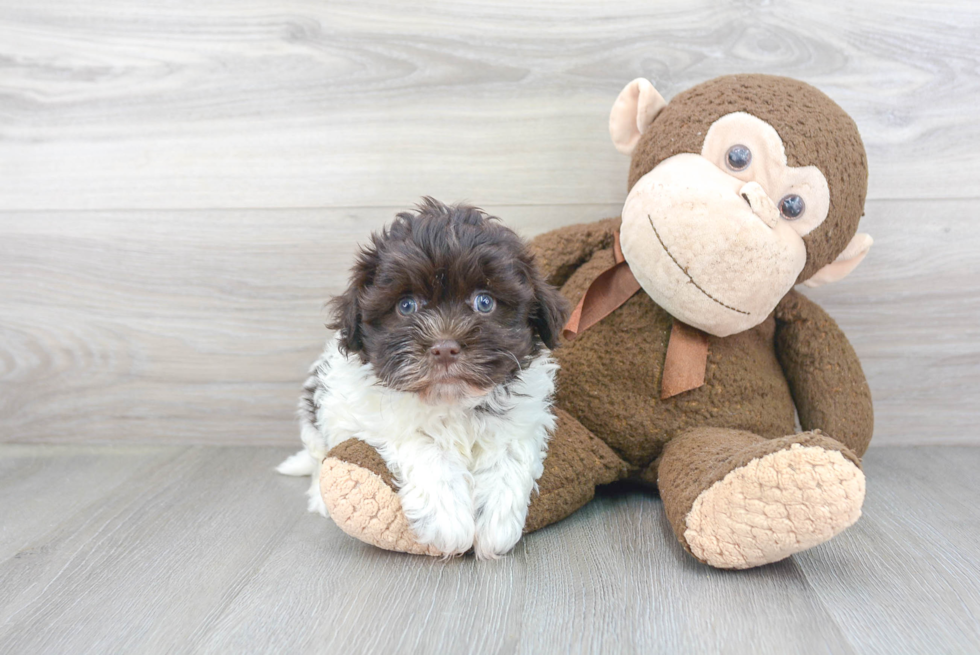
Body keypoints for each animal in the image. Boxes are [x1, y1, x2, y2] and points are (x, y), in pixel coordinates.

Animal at [276, 200, 568, 560]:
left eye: (484, 302)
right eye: (406, 306)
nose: (444, 348)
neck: (452, 401)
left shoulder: (524, 421)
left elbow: (509, 454)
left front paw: (496, 524)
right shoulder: (376, 416)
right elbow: (425, 447)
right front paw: (450, 521)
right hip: (316, 417)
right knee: (319, 459)